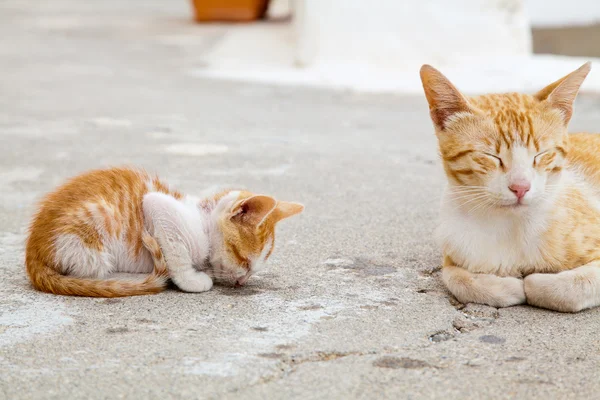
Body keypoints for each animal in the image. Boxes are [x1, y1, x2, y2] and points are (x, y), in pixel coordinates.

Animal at [25, 166, 302, 296]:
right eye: (244, 260)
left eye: (254, 269)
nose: (243, 282)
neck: (202, 217)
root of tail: (32, 253)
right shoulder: (157, 204)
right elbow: (177, 253)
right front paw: (191, 279)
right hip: (93, 232)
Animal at [420, 61, 600, 312]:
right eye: (490, 156)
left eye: (541, 154)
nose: (520, 187)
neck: (511, 227)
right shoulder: (452, 253)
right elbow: (457, 278)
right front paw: (507, 287)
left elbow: (569, 288)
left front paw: (535, 283)